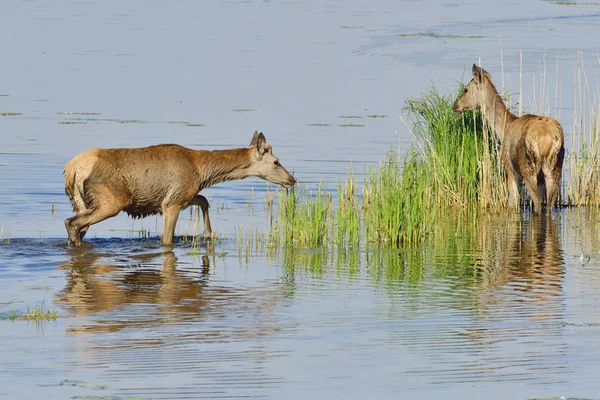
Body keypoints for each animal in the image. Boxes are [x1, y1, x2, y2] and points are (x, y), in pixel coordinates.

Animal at [64, 130, 296, 247]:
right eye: (276, 162)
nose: (292, 180)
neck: (202, 172)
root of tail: (72, 169)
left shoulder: (181, 195)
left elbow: (203, 200)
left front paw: (208, 233)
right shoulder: (172, 203)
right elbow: (166, 240)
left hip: (81, 201)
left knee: (77, 225)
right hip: (111, 201)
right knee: (71, 223)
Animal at [454, 65, 568, 216]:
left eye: (466, 89)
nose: (455, 106)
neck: (504, 128)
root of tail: (547, 138)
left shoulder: (509, 167)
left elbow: (512, 202)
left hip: (527, 166)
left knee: (537, 202)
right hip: (555, 166)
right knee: (549, 204)